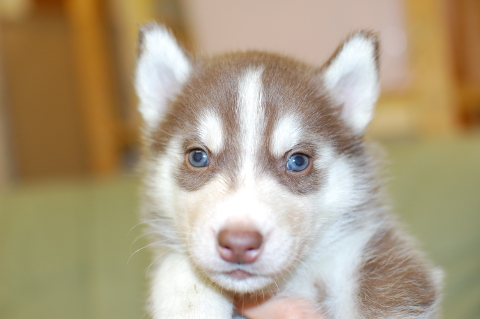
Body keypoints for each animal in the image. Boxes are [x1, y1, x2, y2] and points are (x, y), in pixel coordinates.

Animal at [135, 23, 442, 319]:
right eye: (198, 157)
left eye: (298, 161)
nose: (239, 243)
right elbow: (176, 261)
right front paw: (190, 301)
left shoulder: (374, 256)